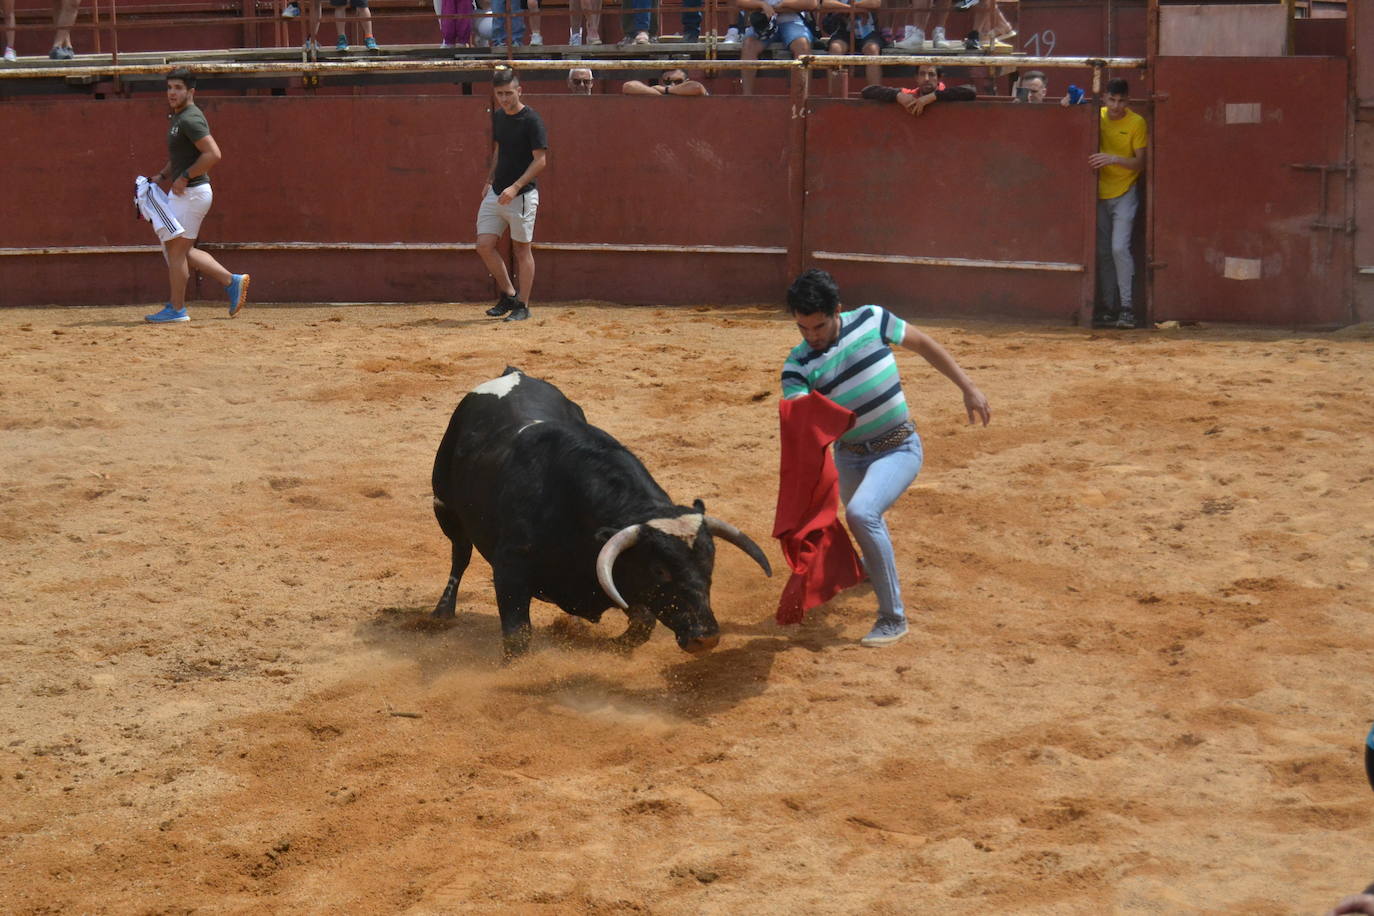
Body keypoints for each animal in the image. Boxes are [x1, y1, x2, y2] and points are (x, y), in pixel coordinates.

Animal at [431, 368, 774, 656]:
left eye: (710, 562)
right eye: (659, 570)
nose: (706, 637)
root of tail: (513, 373)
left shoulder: (618, 578)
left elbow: (642, 624)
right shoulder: (510, 569)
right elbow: (518, 637)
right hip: (445, 506)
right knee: (460, 554)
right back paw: (441, 614)